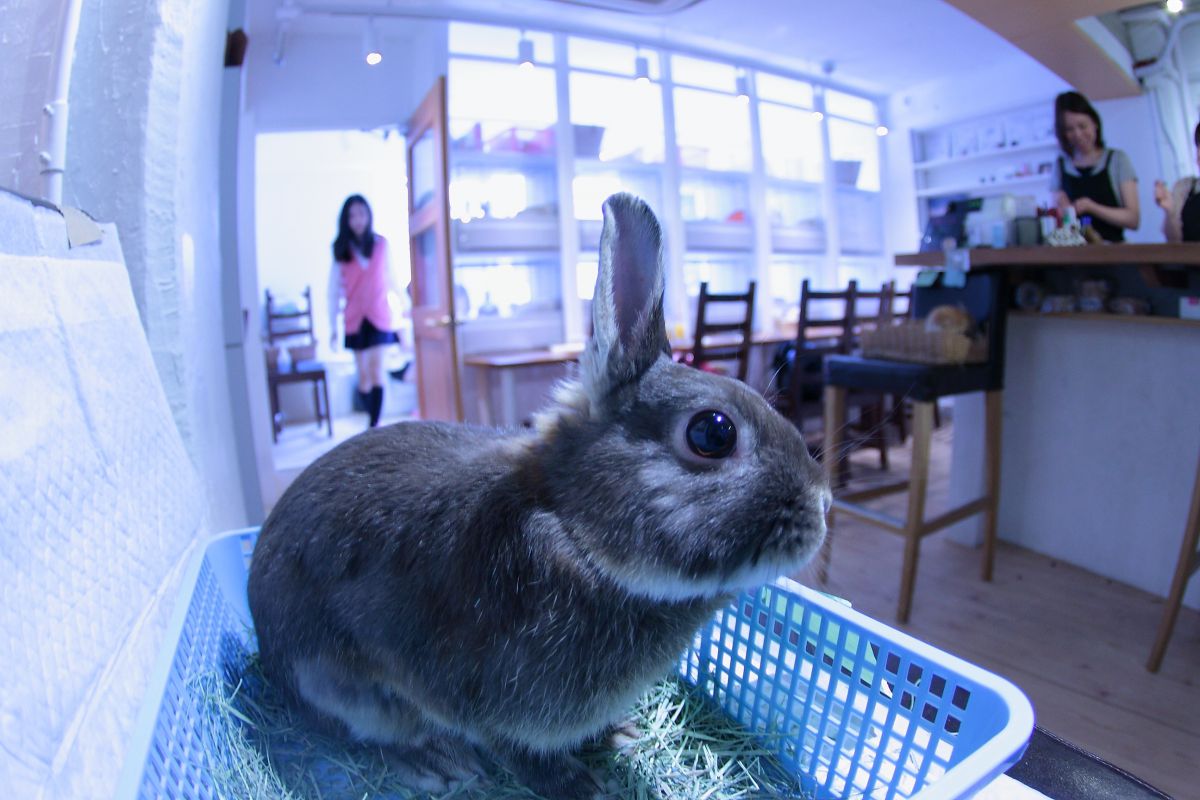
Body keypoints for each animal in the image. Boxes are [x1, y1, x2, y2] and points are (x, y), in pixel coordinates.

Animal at [247, 193, 830, 800]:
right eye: (714, 433)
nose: (822, 505)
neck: (574, 533)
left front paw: (617, 734)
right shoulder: (485, 701)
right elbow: (516, 750)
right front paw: (579, 783)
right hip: (338, 683)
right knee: (361, 729)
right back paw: (434, 762)